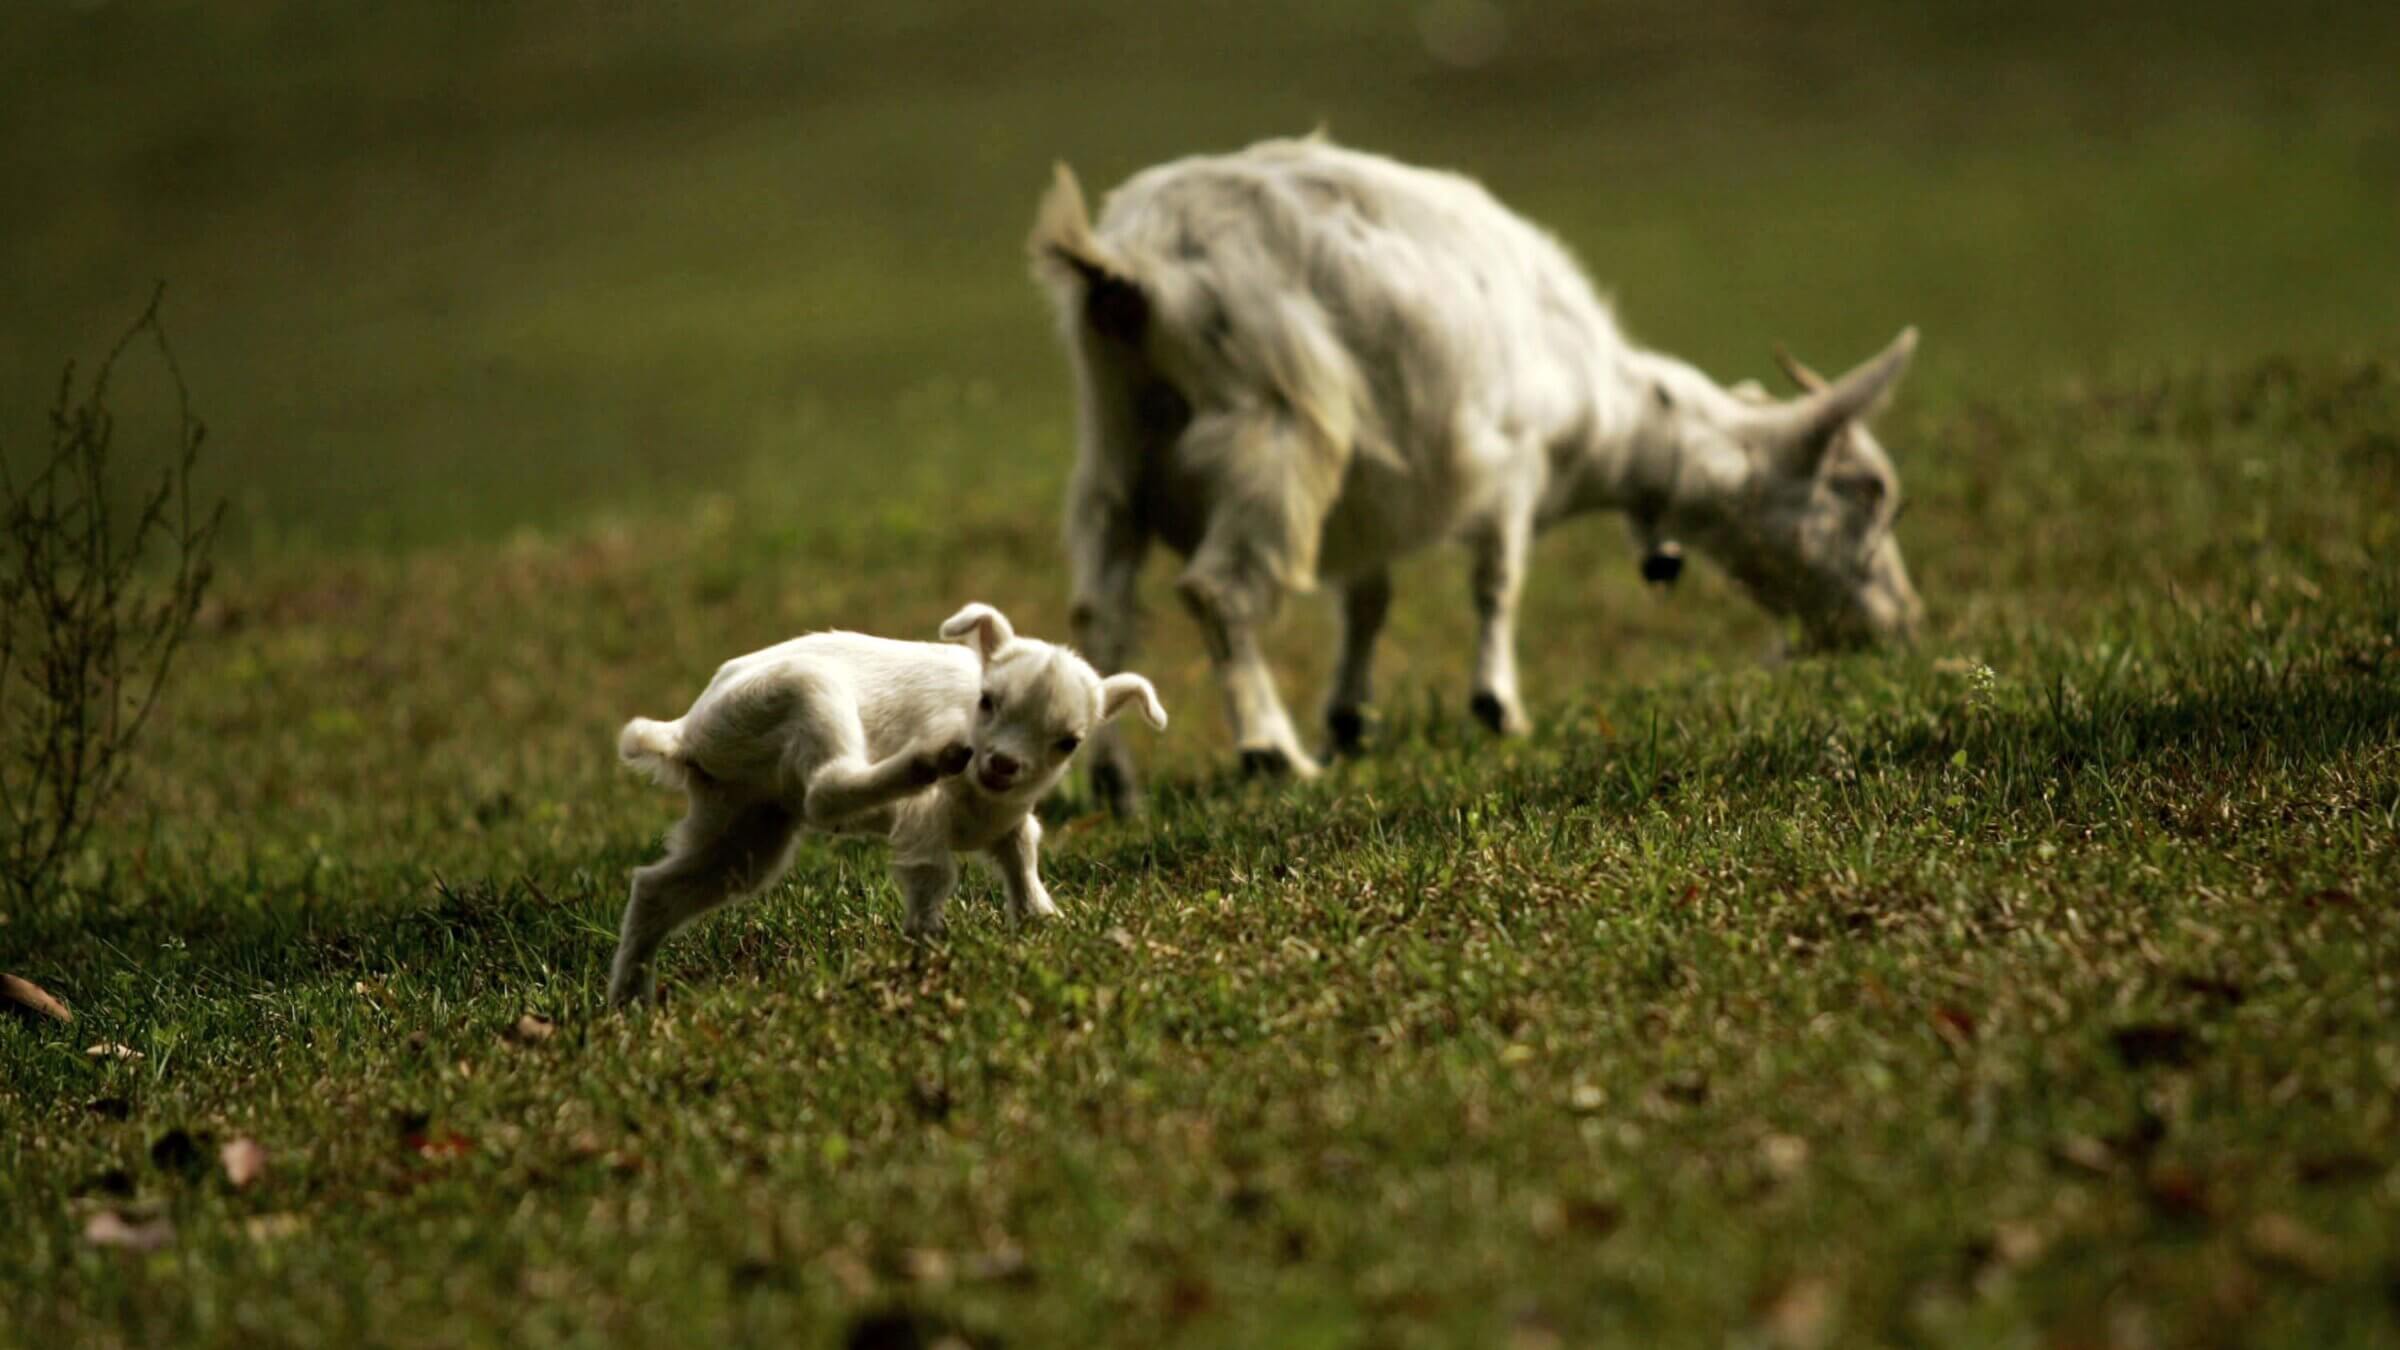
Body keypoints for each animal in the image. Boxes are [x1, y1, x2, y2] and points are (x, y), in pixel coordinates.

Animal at [607, 603, 1167, 1006]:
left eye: (1069, 742)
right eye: (988, 701)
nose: (1003, 764)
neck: (982, 800)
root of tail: (685, 730)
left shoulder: (1009, 821)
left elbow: (1023, 858)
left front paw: (1044, 923)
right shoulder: (922, 822)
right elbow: (932, 874)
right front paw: (932, 947)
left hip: (743, 819)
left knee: (658, 887)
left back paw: (629, 1001)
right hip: (805, 697)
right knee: (825, 790)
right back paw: (925, 761)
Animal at [1031, 135, 1923, 812]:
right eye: (1867, 491)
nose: (1902, 626)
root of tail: (1125, 268)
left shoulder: (1373, 495)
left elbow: (1370, 602)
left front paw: (1351, 719)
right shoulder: (1510, 465)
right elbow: (1499, 582)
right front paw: (1497, 708)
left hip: (1116, 456)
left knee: (1099, 611)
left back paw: (1115, 783)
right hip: (1276, 433)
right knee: (1218, 588)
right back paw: (1269, 749)